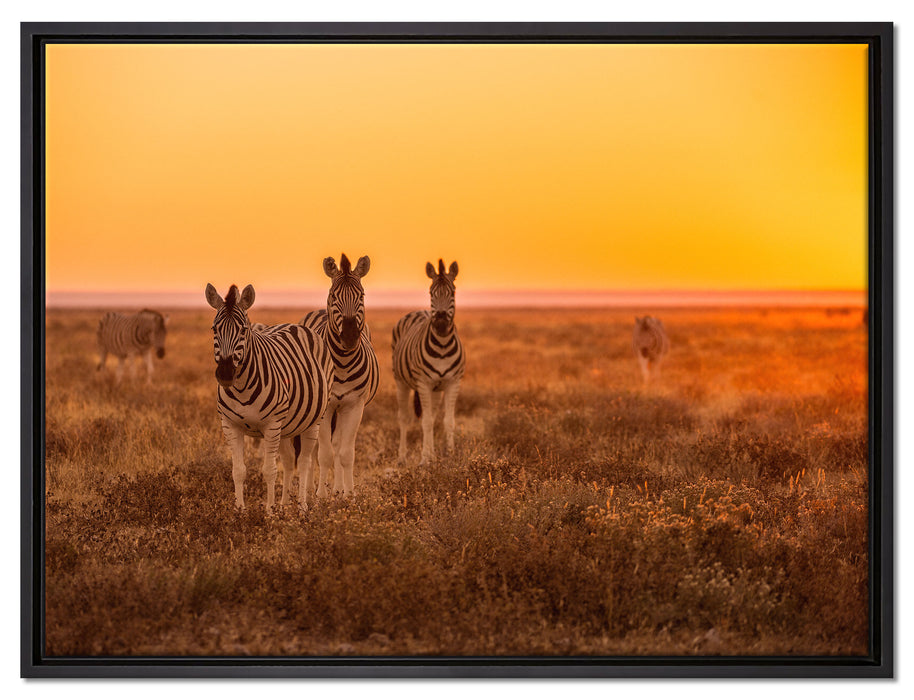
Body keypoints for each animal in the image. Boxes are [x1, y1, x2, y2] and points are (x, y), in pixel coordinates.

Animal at [205, 283, 333, 509]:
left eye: (244, 330)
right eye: (214, 329)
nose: (226, 374)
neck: (241, 388)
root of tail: (295, 325)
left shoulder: (271, 425)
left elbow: (269, 471)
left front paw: (269, 512)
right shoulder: (230, 425)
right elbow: (238, 471)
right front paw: (240, 511)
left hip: (313, 420)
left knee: (304, 462)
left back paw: (302, 507)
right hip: (287, 425)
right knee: (290, 460)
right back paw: (284, 506)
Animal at [300, 253, 379, 497]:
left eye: (361, 295)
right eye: (334, 296)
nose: (350, 337)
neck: (342, 363)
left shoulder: (354, 405)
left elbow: (345, 453)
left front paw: (348, 495)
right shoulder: (326, 408)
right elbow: (324, 454)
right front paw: (320, 496)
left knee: (336, 445)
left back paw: (337, 489)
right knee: (314, 449)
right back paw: (311, 489)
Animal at [392, 259, 466, 465]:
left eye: (453, 292)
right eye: (431, 293)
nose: (440, 324)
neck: (442, 346)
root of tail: (419, 310)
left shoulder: (453, 382)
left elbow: (447, 421)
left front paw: (450, 454)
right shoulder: (424, 383)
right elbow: (425, 422)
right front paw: (424, 459)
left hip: (436, 389)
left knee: (431, 415)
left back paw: (432, 454)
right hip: (401, 382)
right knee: (404, 417)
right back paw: (402, 457)